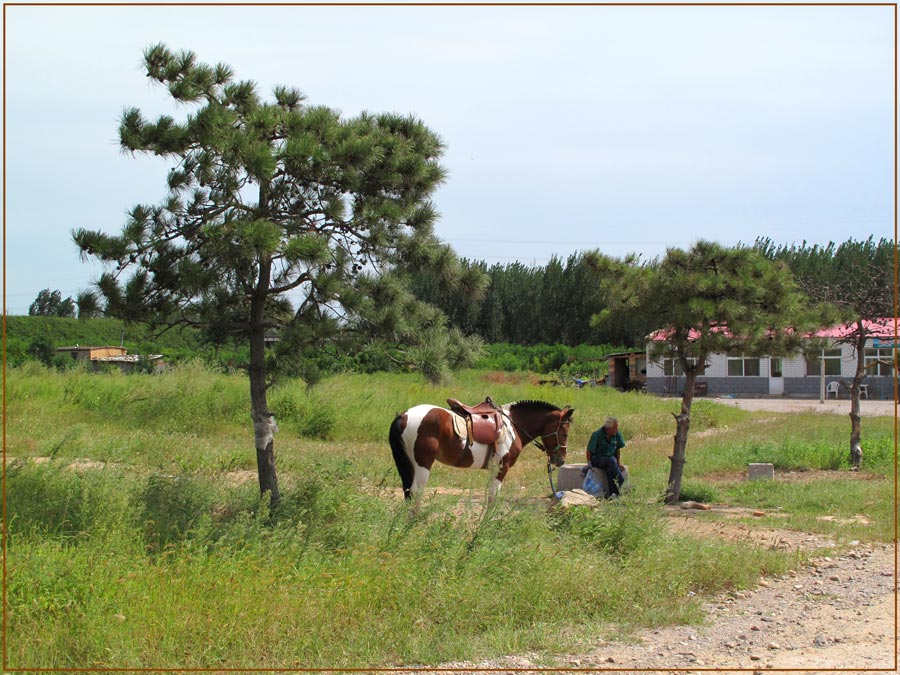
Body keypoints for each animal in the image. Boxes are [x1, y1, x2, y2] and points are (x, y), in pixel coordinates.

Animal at [388, 398, 572, 504]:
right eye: (565, 433)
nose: (561, 459)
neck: (513, 425)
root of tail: (403, 416)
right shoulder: (502, 467)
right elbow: (493, 497)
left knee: (408, 492)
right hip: (422, 464)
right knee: (416, 492)